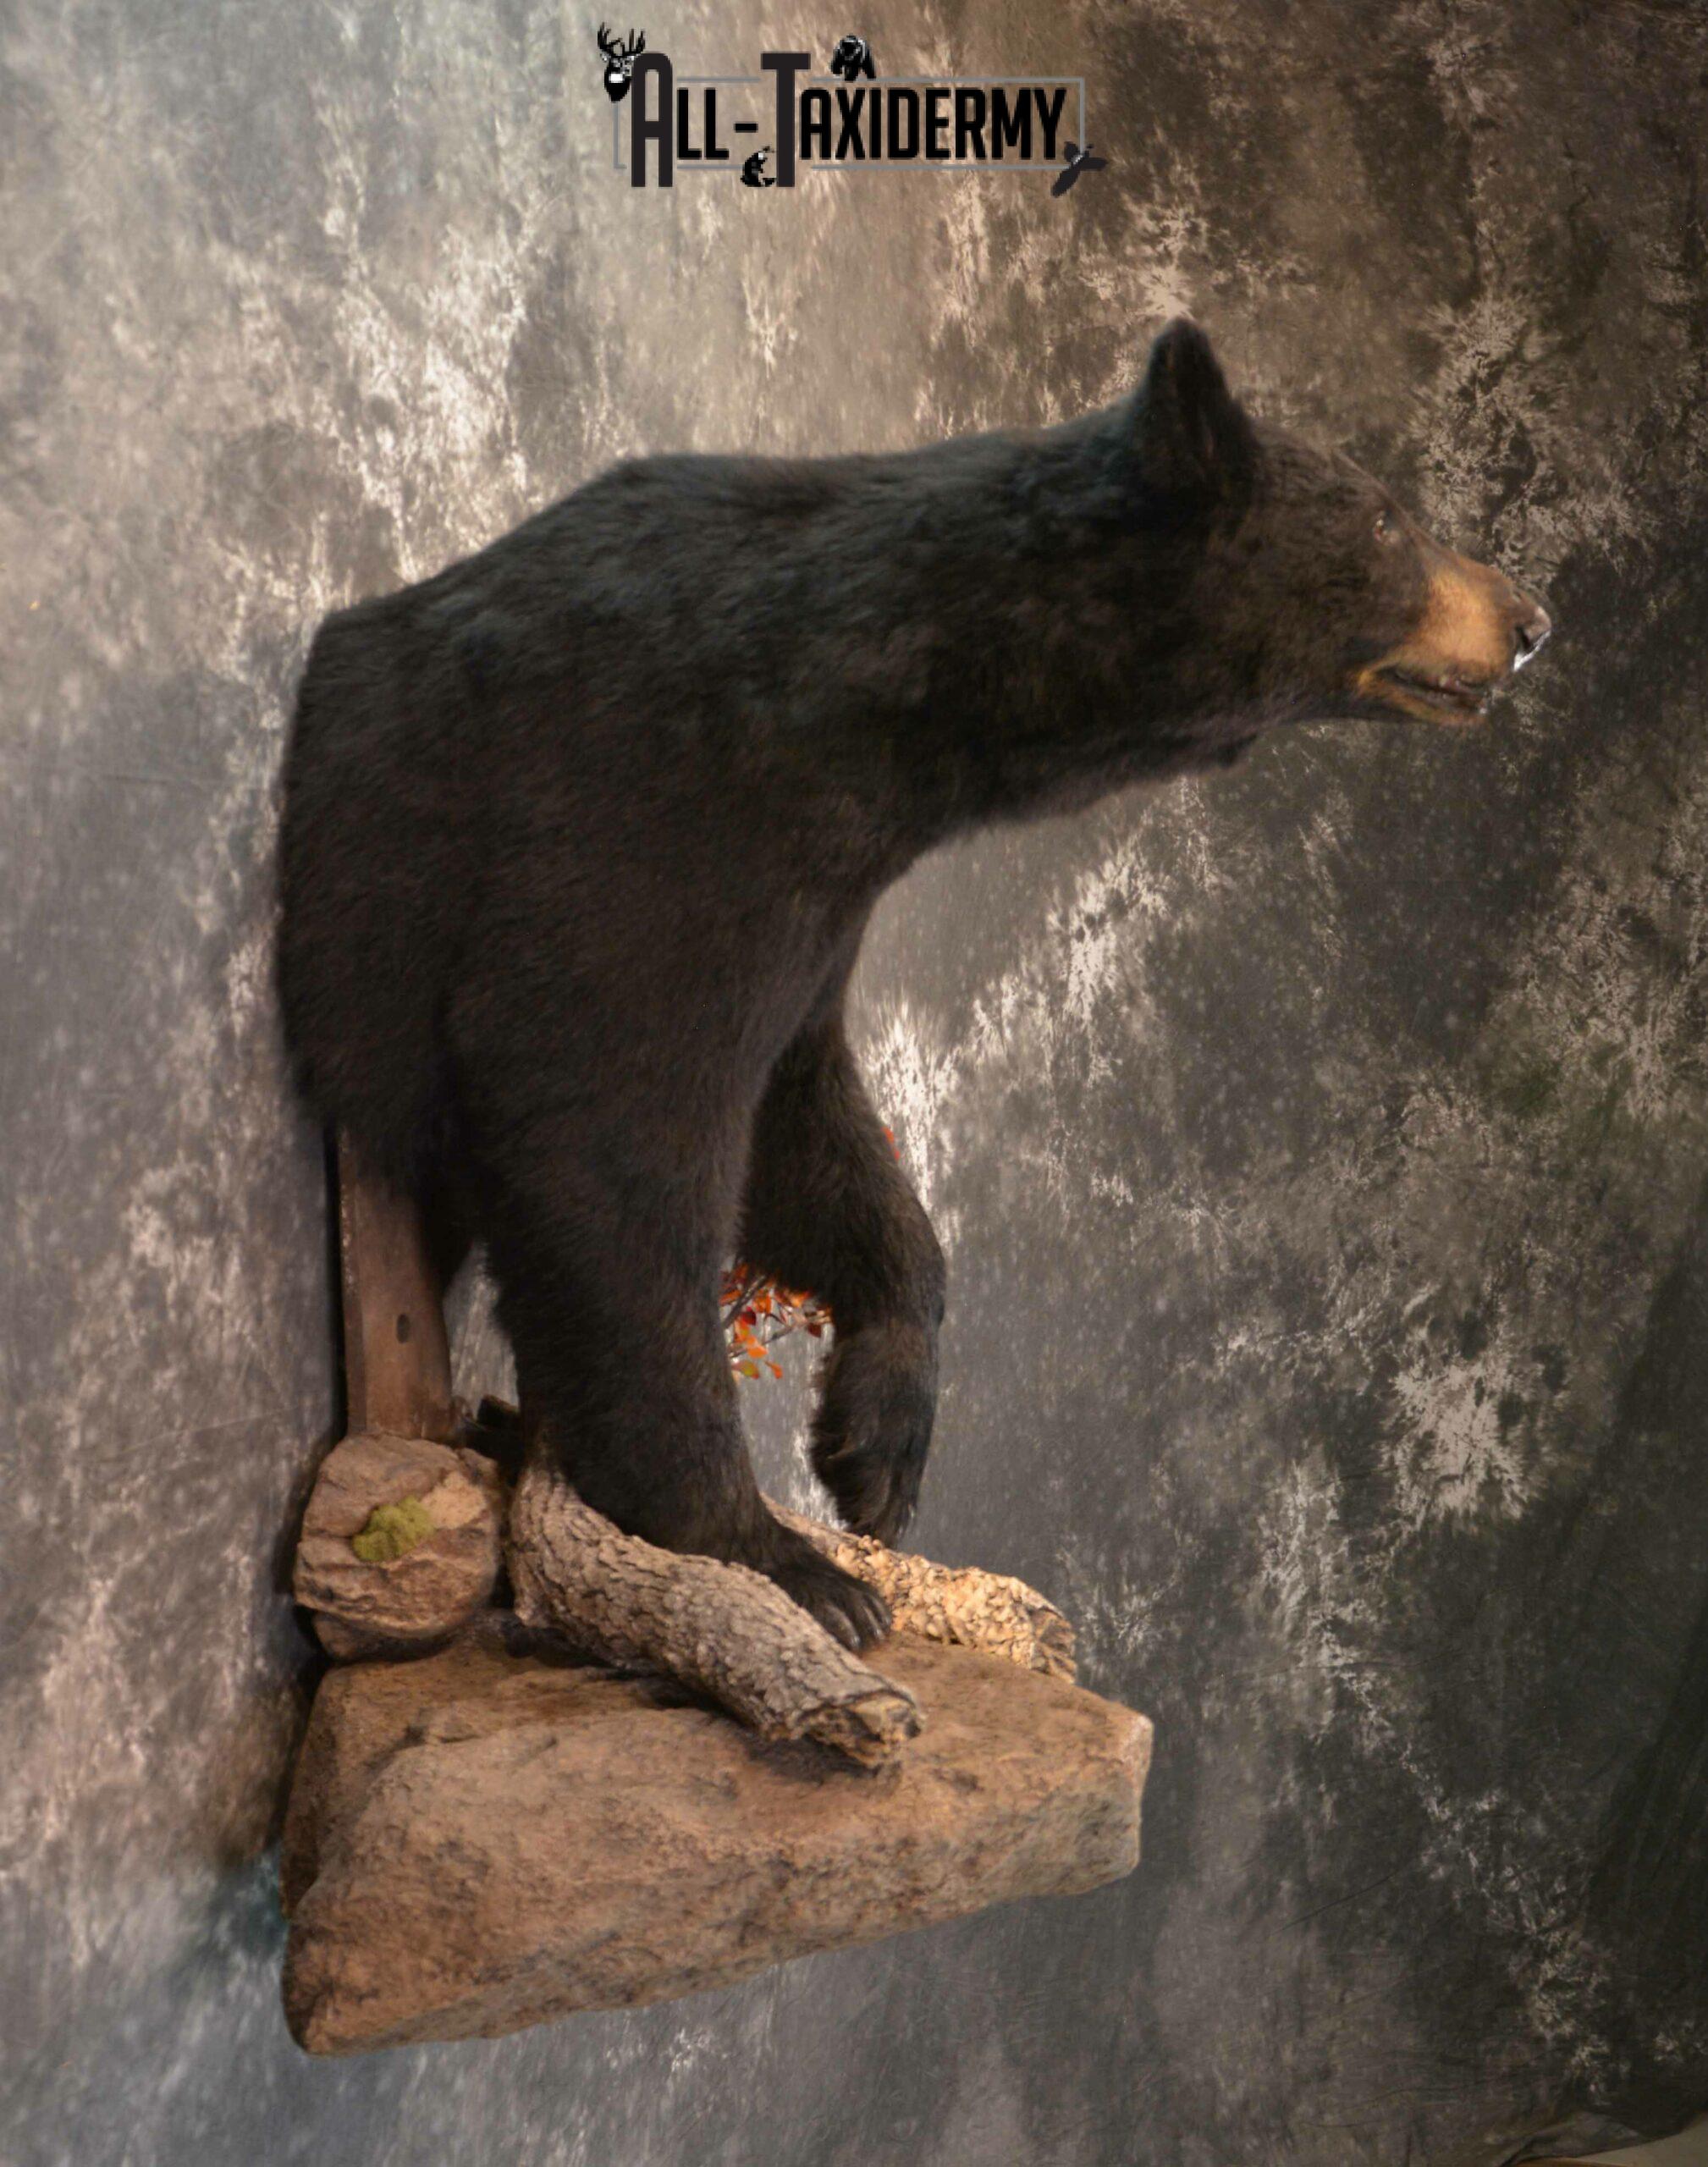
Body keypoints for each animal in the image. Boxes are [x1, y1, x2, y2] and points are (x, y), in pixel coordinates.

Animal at [277, 319, 1551, 1651]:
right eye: (1386, 521)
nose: (1531, 617)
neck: (870, 708)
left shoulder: (820, 901)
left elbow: (804, 1124)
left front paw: (874, 1450)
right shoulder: (643, 813)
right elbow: (603, 1133)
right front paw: (774, 1554)